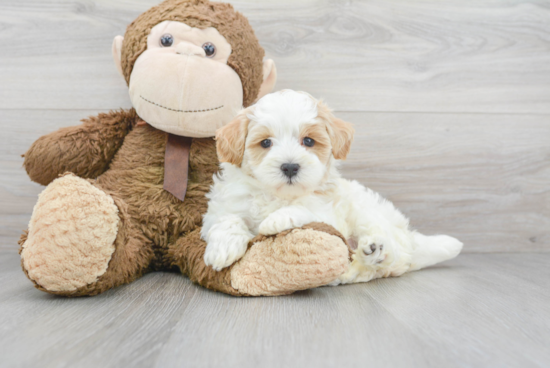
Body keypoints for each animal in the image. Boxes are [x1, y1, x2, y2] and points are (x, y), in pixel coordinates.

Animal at [201, 90, 464, 284]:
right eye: (265, 143)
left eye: (308, 141)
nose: (290, 167)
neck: (277, 195)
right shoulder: (222, 207)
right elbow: (227, 219)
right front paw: (223, 248)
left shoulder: (327, 213)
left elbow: (305, 209)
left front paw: (277, 219)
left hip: (367, 210)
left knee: (393, 251)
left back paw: (376, 249)